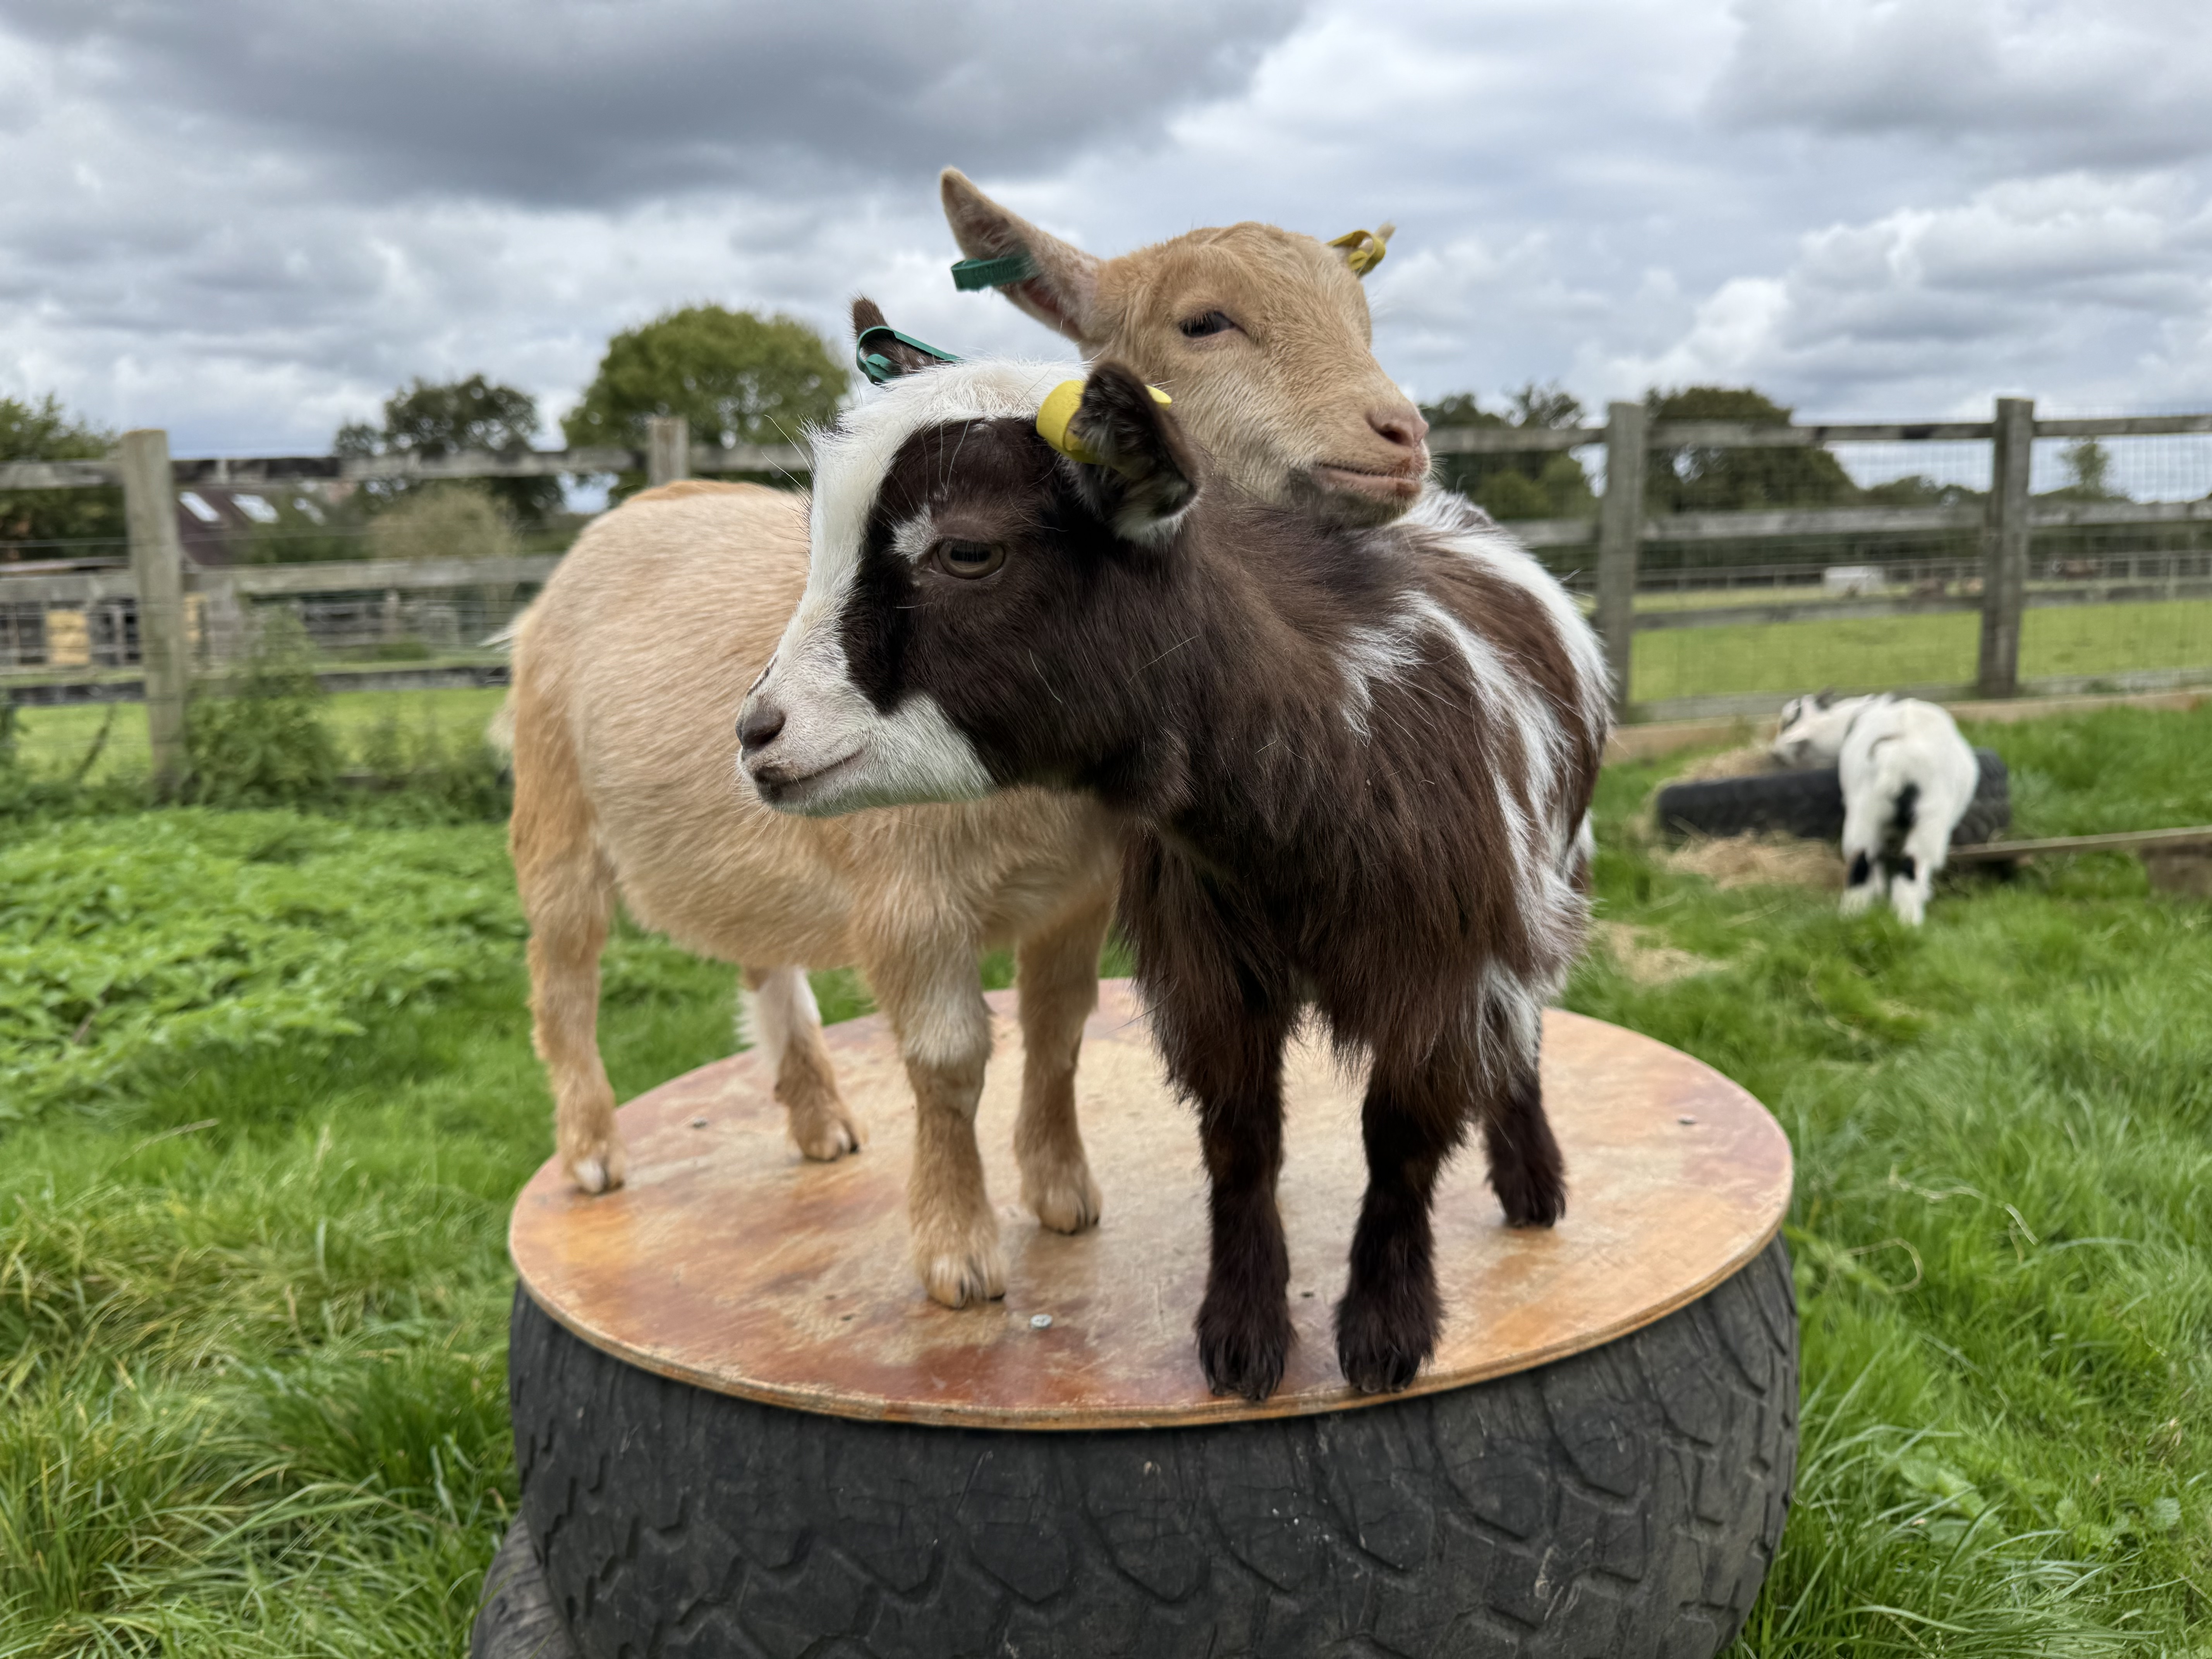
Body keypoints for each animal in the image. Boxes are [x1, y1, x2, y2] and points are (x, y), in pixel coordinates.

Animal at [507, 171, 1430, 1312]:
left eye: (1363, 316)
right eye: (1204, 321)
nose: (1401, 438)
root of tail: (635, 506)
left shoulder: (1078, 892)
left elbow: (1059, 1031)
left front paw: (1062, 1193)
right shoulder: (908, 899)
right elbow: (948, 1061)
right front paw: (958, 1254)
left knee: (762, 960)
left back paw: (819, 1122)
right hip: (554, 814)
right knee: (563, 975)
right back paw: (592, 1151)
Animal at [739, 361, 1609, 1400]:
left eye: (967, 550)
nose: (759, 733)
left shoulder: (1445, 970)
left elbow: (1399, 1146)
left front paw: (1386, 1334)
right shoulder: (1208, 973)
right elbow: (1241, 1143)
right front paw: (1241, 1340)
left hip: (1555, 874)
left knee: (1524, 1035)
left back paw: (1534, 1185)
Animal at [1773, 691, 1978, 925]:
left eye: (1787, 723)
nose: (1776, 755)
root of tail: (1897, 757)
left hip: (1867, 811)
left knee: (1862, 862)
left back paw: (1854, 916)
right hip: (1930, 818)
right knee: (1909, 867)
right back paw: (1908, 921)